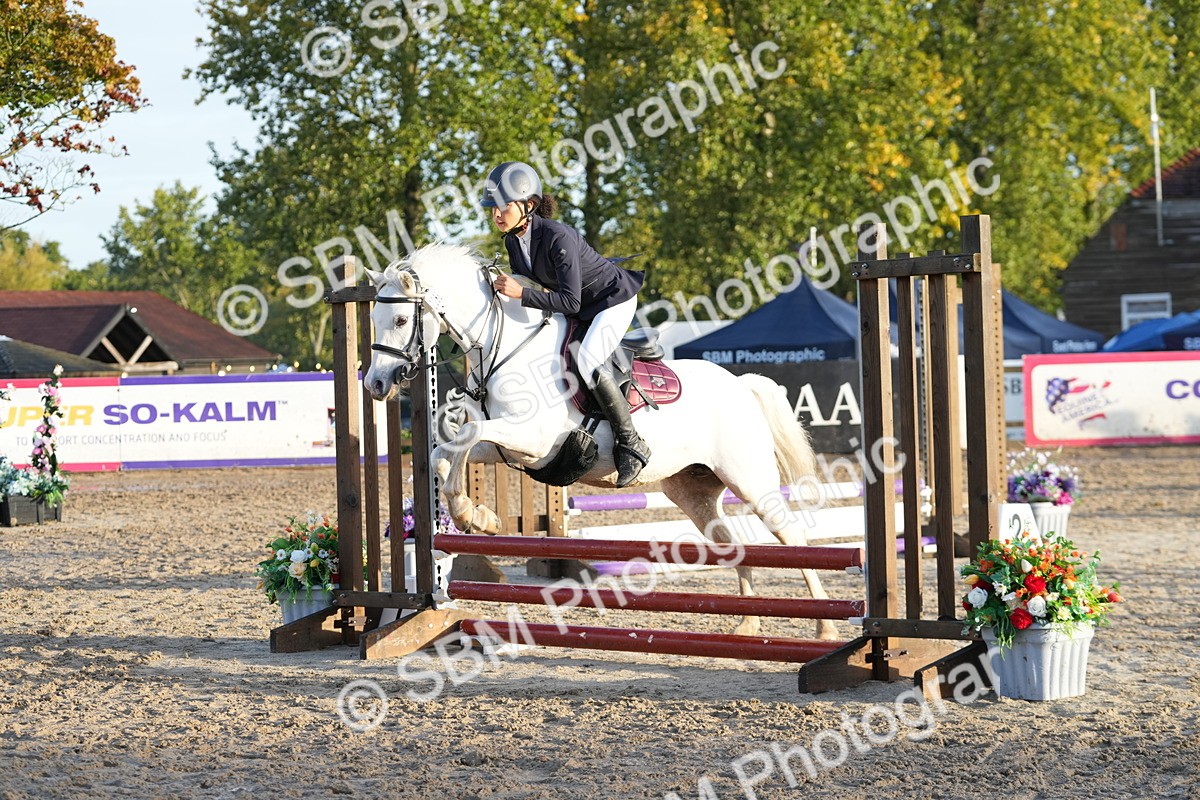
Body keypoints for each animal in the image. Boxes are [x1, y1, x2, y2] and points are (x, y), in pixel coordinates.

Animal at [362, 242, 835, 639]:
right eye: (373, 321)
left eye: (402, 320)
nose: (375, 384)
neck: (507, 348)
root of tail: (741, 384)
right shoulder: (508, 445)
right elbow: (446, 451)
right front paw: (477, 515)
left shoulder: (536, 441)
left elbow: (468, 433)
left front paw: (470, 514)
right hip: (693, 490)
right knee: (732, 545)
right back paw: (748, 624)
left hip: (751, 482)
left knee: (792, 538)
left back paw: (824, 628)